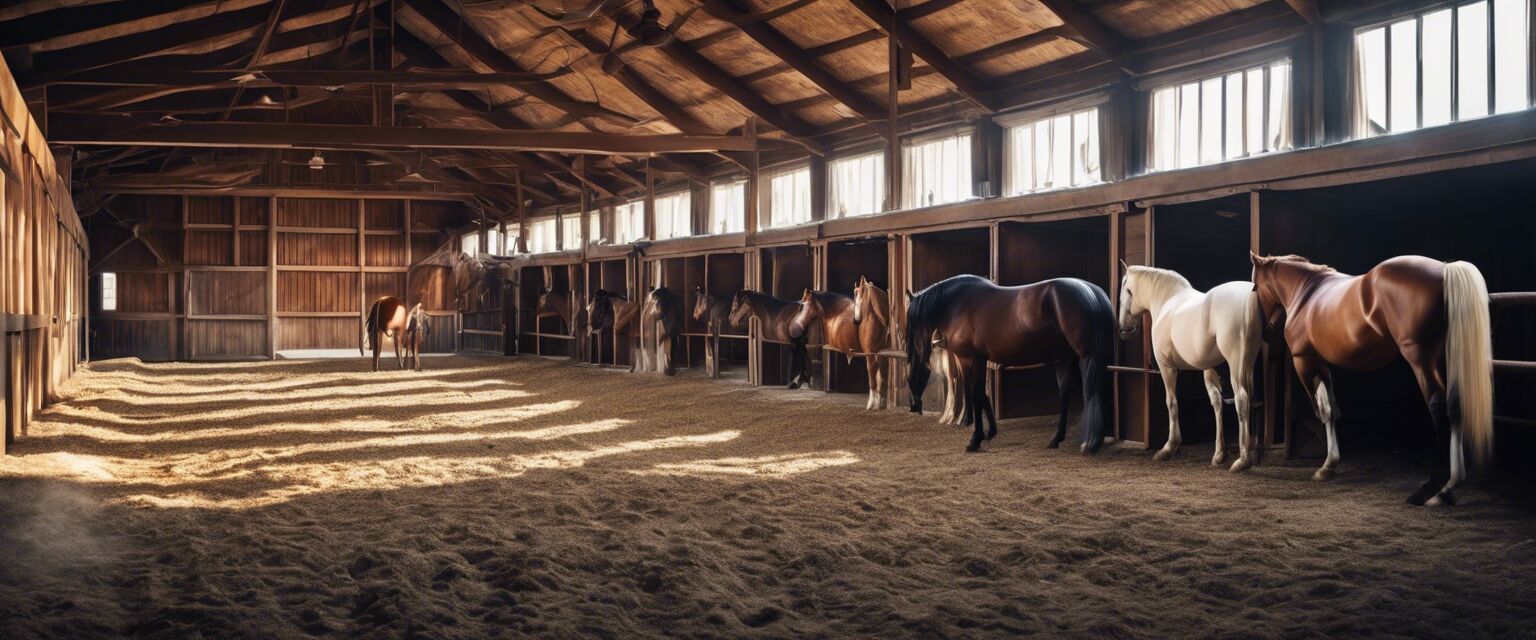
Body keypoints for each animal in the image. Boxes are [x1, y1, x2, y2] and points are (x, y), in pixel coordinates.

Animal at [897, 274, 1118, 454]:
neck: (957, 305)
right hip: (1064, 359)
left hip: (1085, 358)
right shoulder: (981, 359)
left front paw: (975, 440)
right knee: (1070, 395)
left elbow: (975, 393)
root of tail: (1092, 293)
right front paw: (989, 433)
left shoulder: (968, 358)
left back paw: (1089, 443)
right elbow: (983, 395)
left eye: (910, 332)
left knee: (1091, 392)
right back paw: (1058, 440)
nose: (914, 405)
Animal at [1118, 262, 1259, 472]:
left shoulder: (1166, 366)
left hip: (1236, 363)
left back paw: (1242, 461)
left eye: (1125, 288)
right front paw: (1219, 454)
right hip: (1248, 364)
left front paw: (1169, 448)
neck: (1166, 301)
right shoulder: (1210, 368)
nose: (1124, 329)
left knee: (1241, 399)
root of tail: (1248, 298)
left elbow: (1171, 402)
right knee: (1249, 398)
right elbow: (1217, 403)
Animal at [1247, 251, 1486, 506]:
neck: (1306, 292)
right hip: (1445, 361)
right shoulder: (1323, 365)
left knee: (1438, 407)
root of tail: (1445, 269)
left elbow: (1323, 411)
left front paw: (1326, 466)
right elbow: (1332, 410)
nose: (1265, 332)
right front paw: (1329, 465)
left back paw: (1431, 488)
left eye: (1255, 287)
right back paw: (1448, 489)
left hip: (1421, 360)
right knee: (1455, 407)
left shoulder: (1306, 362)